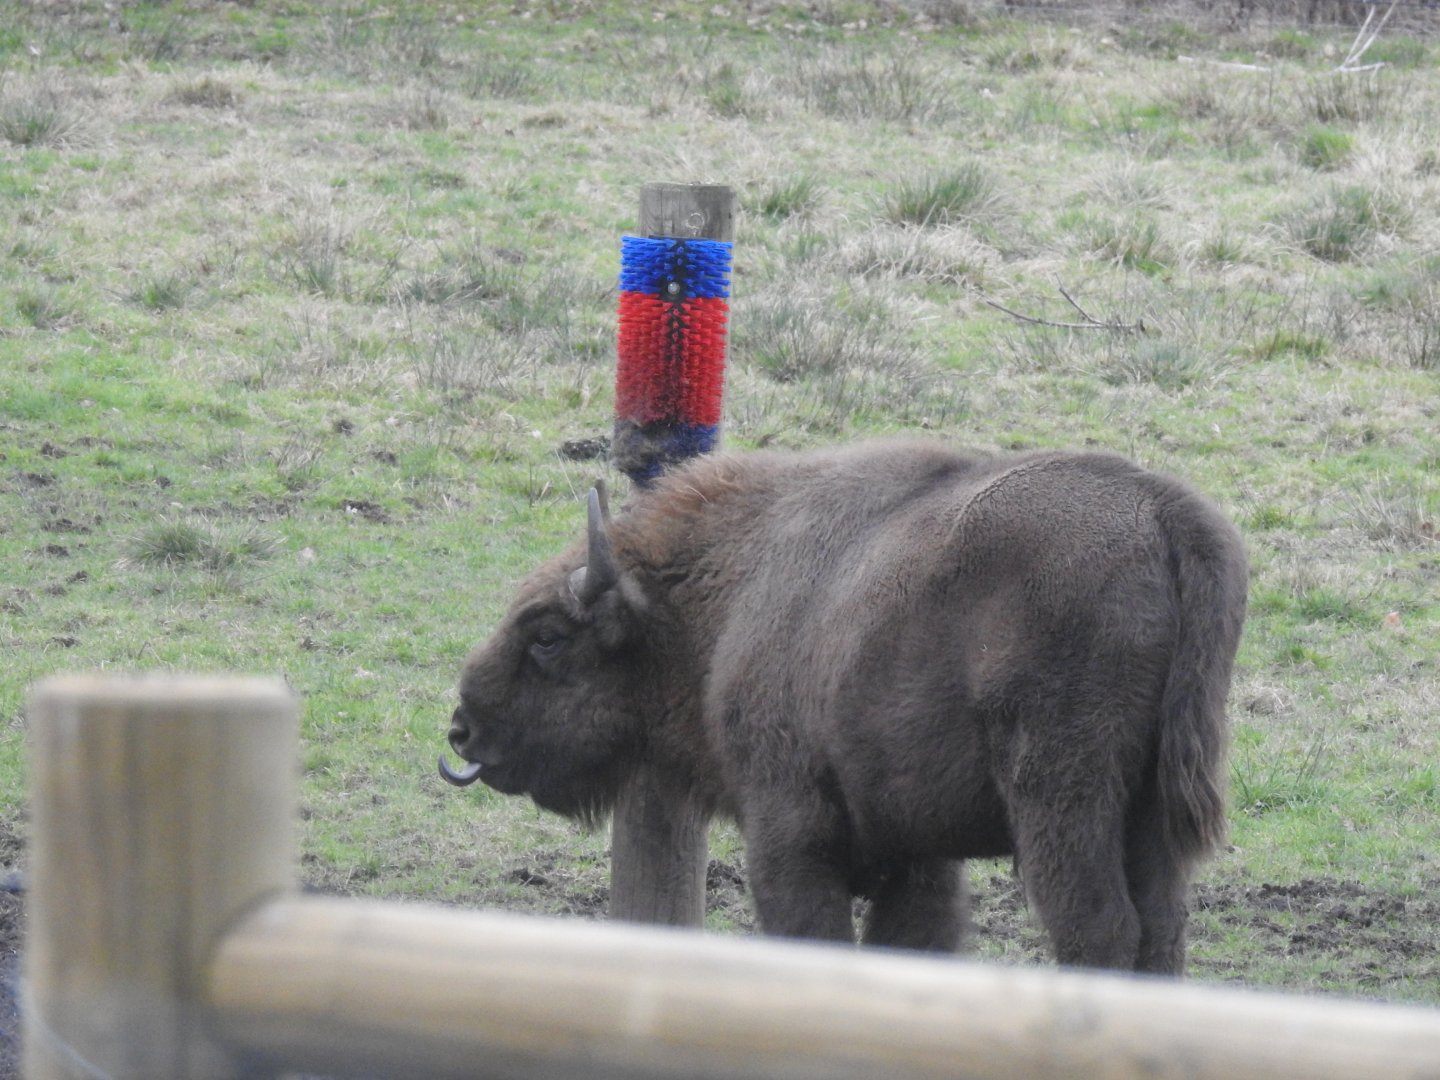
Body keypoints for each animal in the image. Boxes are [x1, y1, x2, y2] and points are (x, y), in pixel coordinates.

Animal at [442, 439, 1247, 973]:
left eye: (547, 635)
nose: (463, 730)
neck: (726, 589)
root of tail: (1164, 514)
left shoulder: (789, 830)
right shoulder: (918, 853)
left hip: (1062, 797)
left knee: (1097, 928)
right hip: (1151, 809)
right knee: (1161, 929)